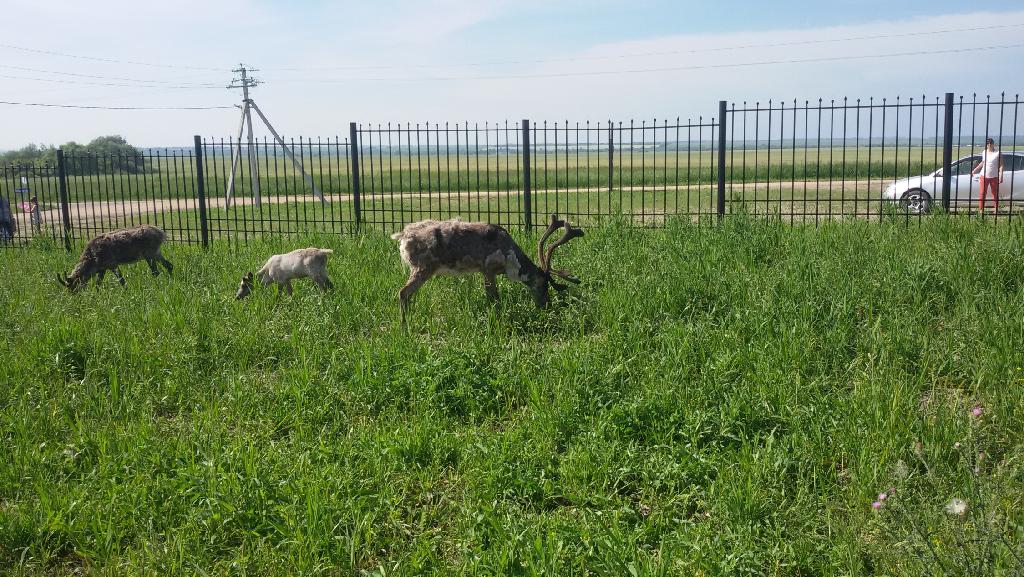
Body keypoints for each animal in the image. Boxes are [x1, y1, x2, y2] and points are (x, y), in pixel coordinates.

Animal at [391, 213, 584, 323]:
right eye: (543, 284)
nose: (546, 305)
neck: (511, 258)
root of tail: (402, 236)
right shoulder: (488, 268)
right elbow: (494, 298)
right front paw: (497, 320)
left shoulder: (485, 271)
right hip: (423, 267)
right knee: (403, 292)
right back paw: (404, 326)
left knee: (407, 294)